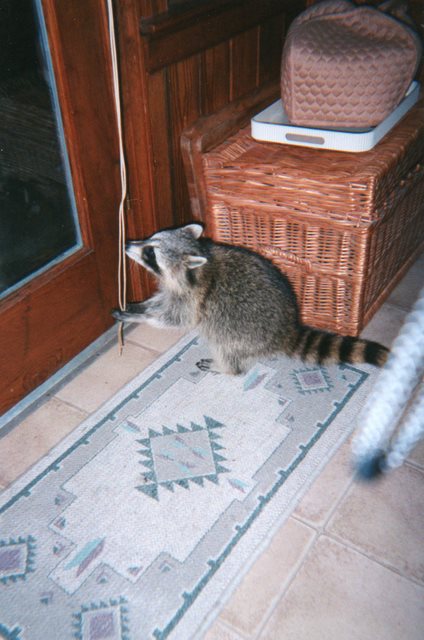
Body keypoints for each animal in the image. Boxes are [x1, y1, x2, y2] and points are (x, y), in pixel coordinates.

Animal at [112, 224, 388, 376]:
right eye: (150, 240)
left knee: (225, 345)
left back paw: (226, 367)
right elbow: (161, 301)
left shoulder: (193, 300)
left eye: (149, 253)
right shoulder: (175, 290)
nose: (126, 244)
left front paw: (142, 317)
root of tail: (286, 330)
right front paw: (139, 306)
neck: (196, 266)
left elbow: (175, 319)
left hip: (240, 331)